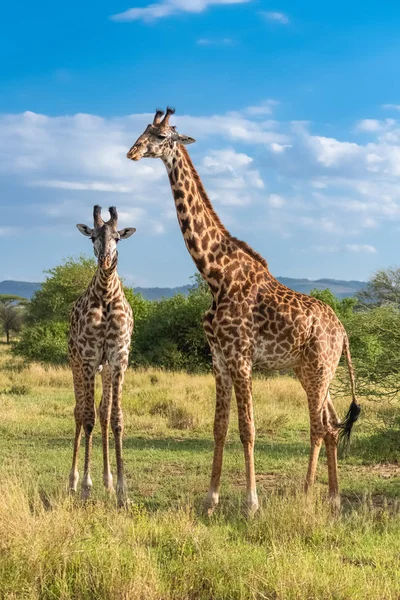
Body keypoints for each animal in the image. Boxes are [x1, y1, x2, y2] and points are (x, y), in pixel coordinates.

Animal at [126, 108, 360, 516]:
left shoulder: (241, 357)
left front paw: (252, 504)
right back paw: (331, 498)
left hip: (319, 369)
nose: (132, 151)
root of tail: (343, 331)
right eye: (143, 130)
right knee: (331, 424)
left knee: (319, 426)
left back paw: (306, 495)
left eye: (161, 136)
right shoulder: (218, 358)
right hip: (312, 371)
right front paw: (210, 501)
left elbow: (247, 429)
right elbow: (219, 428)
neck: (215, 274)